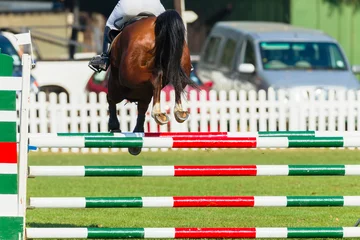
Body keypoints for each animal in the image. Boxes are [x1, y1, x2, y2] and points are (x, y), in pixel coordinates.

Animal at [107, 9, 197, 155]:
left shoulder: (117, 86)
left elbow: (111, 100)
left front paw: (114, 126)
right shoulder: (144, 96)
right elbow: (142, 112)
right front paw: (136, 142)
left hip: (127, 76)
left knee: (156, 78)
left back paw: (158, 113)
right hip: (183, 61)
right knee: (177, 80)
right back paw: (178, 111)